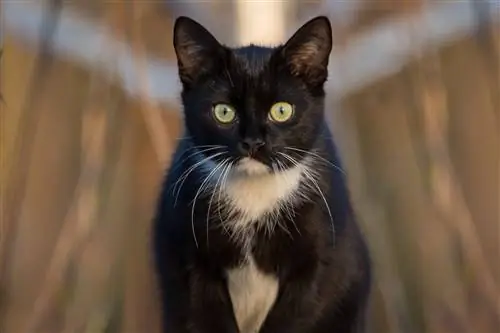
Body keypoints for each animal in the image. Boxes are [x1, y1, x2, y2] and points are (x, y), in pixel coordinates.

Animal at [152, 14, 372, 330]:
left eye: (281, 110)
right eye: (223, 112)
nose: (253, 141)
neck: (255, 199)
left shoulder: (321, 257)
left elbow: (296, 314)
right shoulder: (188, 256)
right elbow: (205, 314)